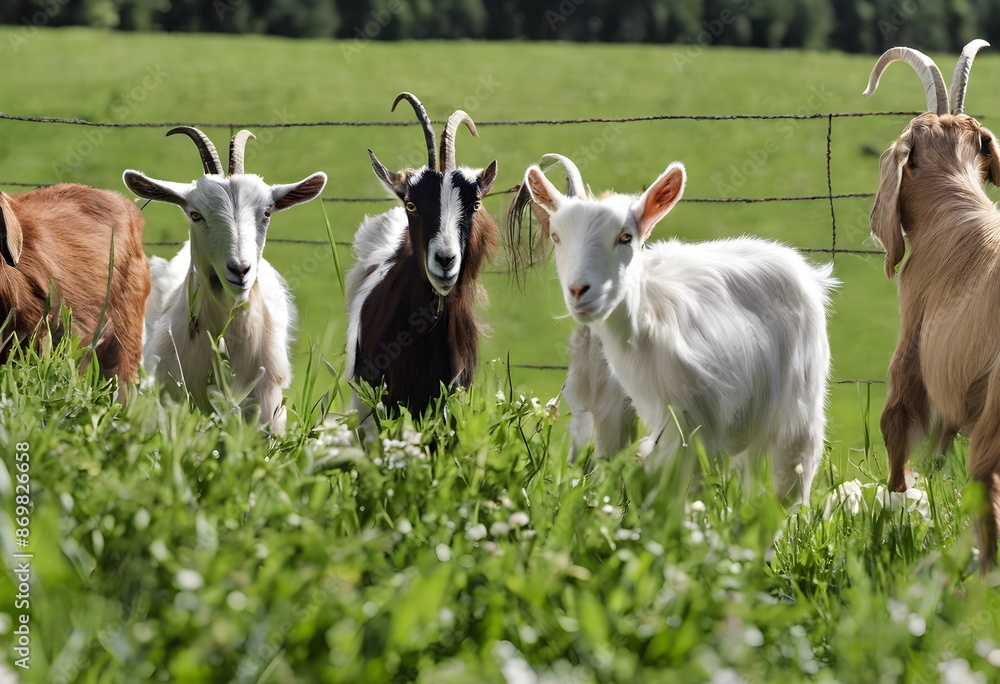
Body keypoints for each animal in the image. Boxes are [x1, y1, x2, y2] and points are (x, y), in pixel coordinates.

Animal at [510, 155, 836, 505]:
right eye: (556, 236)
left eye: (626, 237)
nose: (578, 290)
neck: (646, 325)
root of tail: (802, 268)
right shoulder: (617, 412)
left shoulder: (696, 422)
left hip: (798, 402)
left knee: (794, 465)